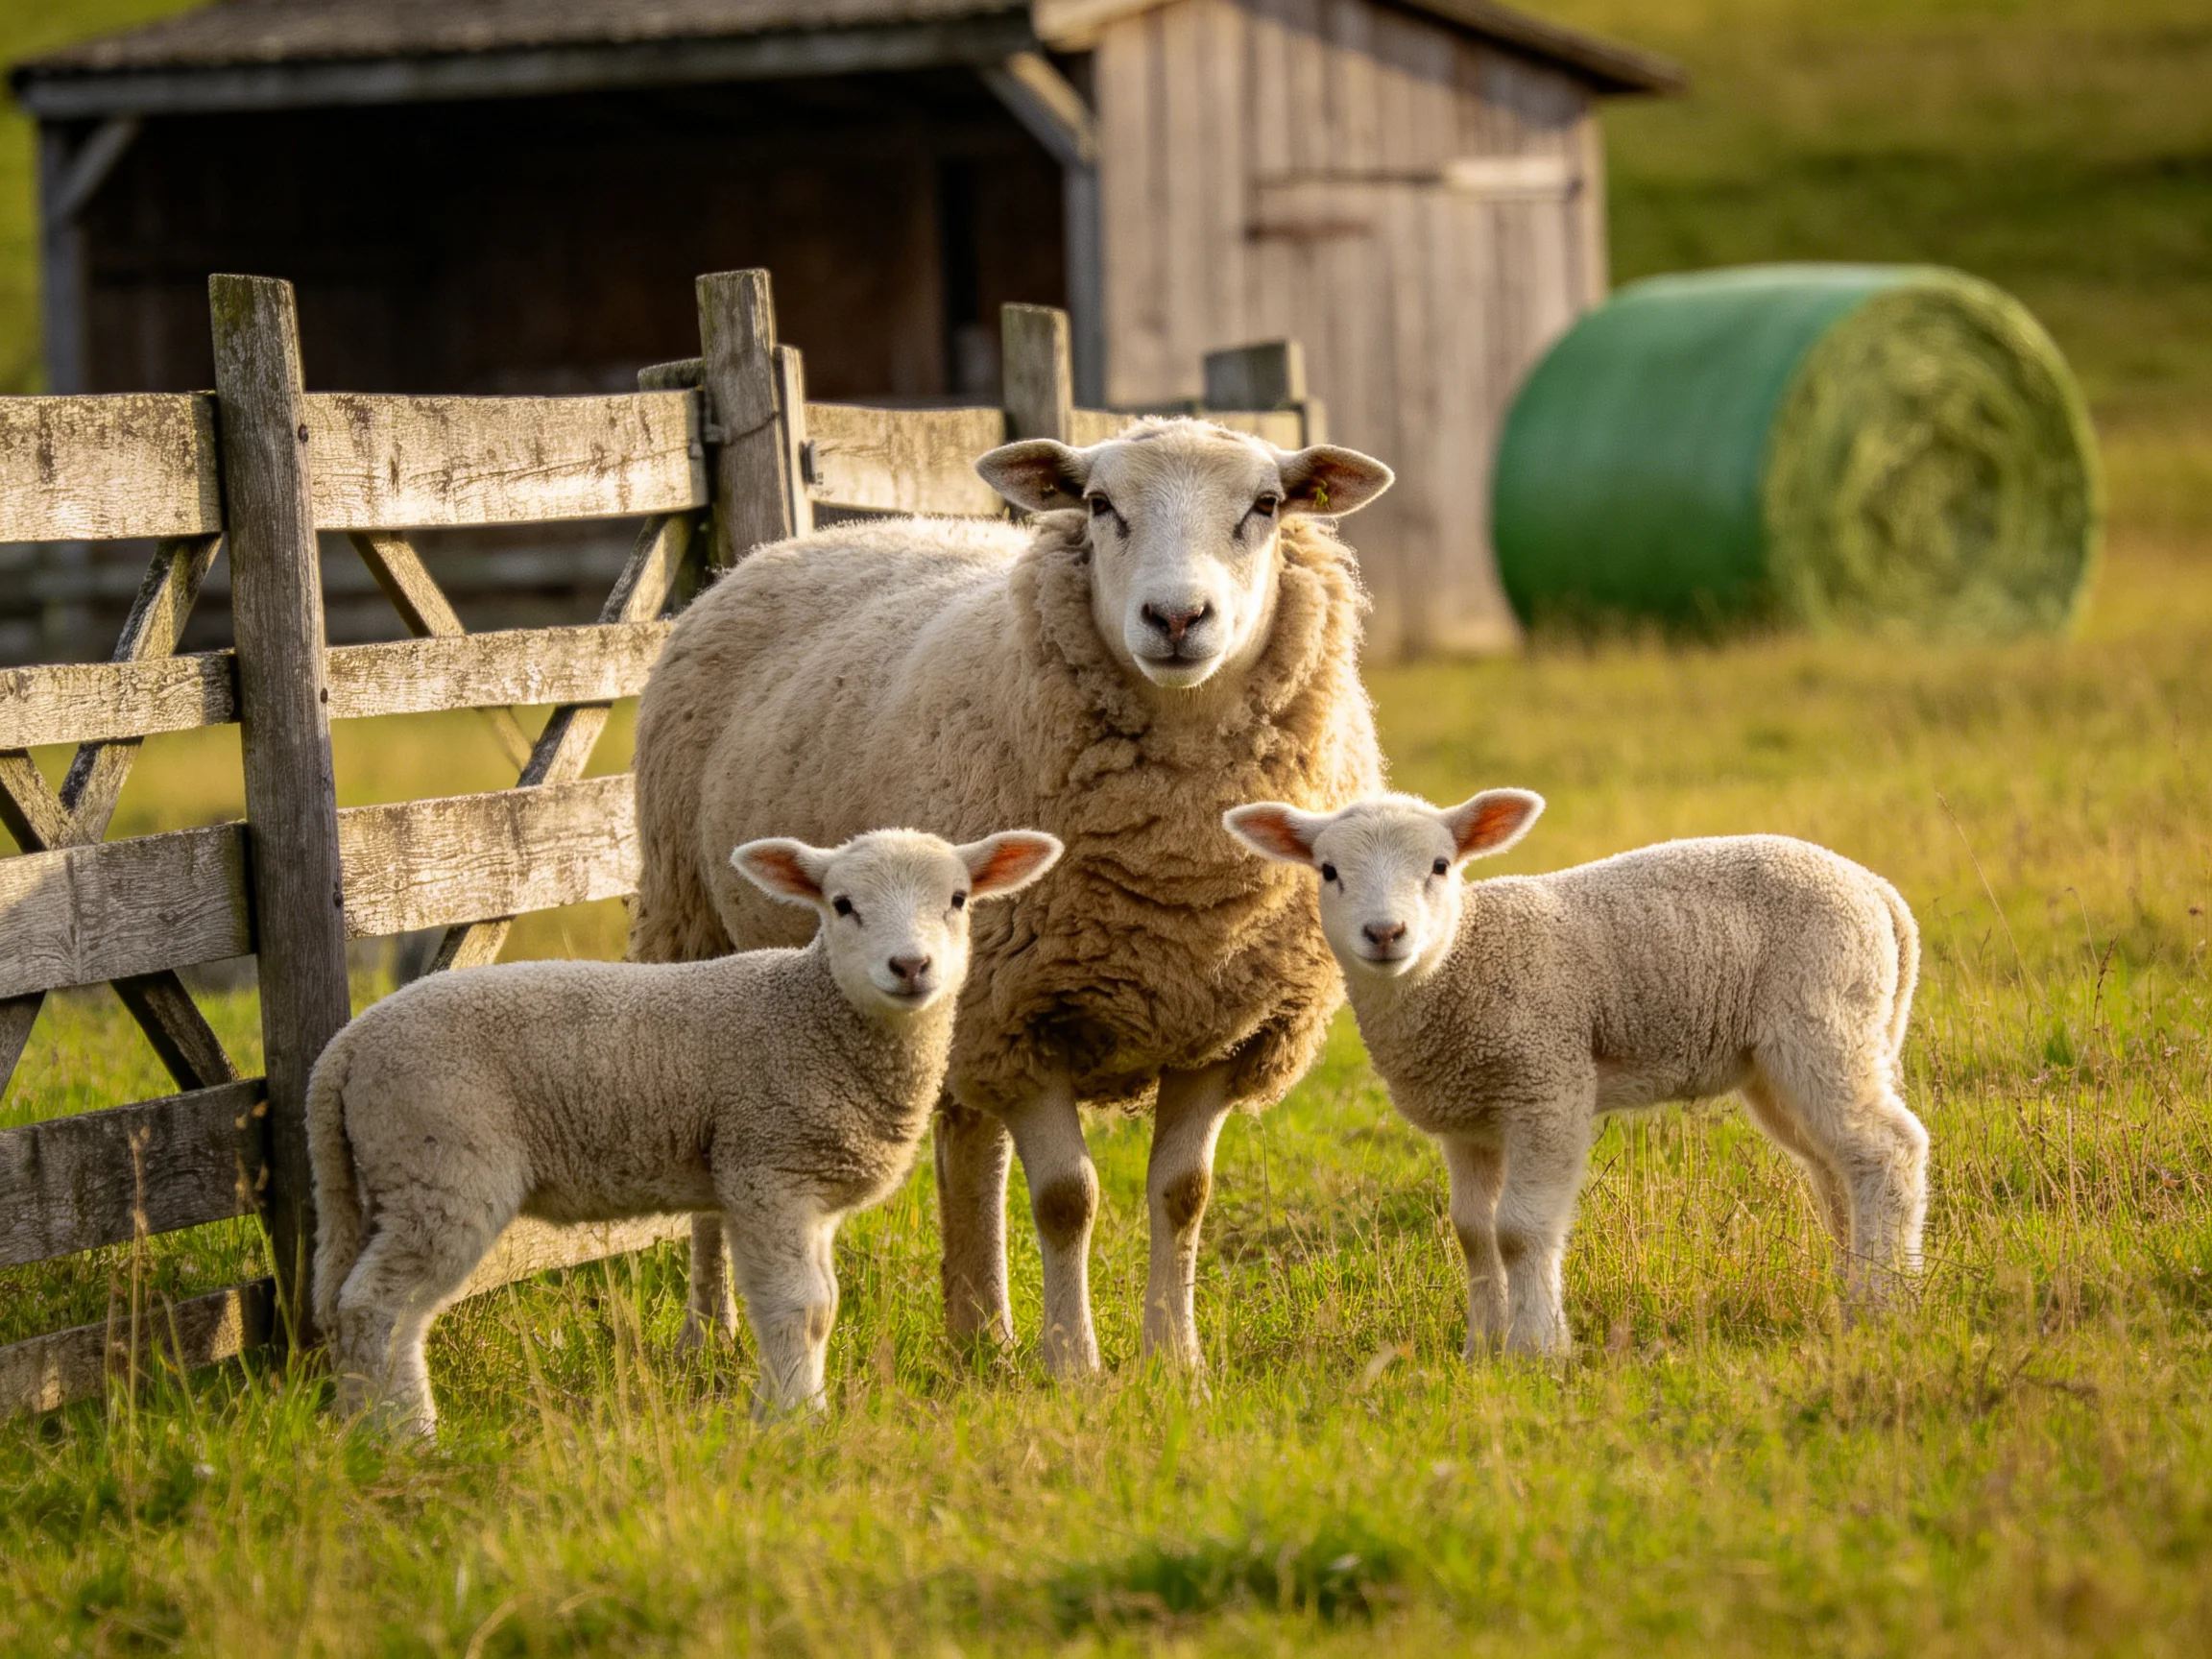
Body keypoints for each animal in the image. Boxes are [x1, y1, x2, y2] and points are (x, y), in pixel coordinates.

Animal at [308, 826, 1063, 1435]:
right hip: (441, 1165)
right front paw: (791, 1423)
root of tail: (344, 1049)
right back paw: (409, 1438)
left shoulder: (809, 1193)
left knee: (356, 1307)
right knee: (378, 1308)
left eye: (959, 899)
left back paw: (360, 1428)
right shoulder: (765, 1168)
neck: (815, 1015)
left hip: (389, 1177)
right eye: (842, 905)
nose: (910, 966)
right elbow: (798, 1307)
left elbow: (823, 1307)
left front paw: (800, 1409)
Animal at [629, 418, 1394, 1377]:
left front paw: (1174, 1362)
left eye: (1265, 504)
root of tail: (772, 551)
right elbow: (1068, 1199)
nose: (1176, 618)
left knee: (970, 1150)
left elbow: (1183, 1193)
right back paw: (710, 1331)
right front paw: (1074, 1365)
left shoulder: (1223, 1027)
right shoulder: (1023, 1022)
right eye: (1100, 505)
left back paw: (978, 1333)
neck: (1177, 862)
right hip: (691, 927)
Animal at [1224, 790, 1928, 1357]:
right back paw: (1852, 1289)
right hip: (1785, 1059)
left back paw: (1882, 1301)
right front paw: (1483, 1348)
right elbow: (1473, 1233)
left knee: (1888, 1149)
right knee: (1835, 1166)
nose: (1385, 932)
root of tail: (1880, 893)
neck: (1462, 961)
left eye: (1441, 866)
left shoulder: (1548, 1082)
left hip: (1822, 1018)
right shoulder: (1467, 1119)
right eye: (1328, 871)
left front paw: (1538, 1348)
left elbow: (1519, 1230)